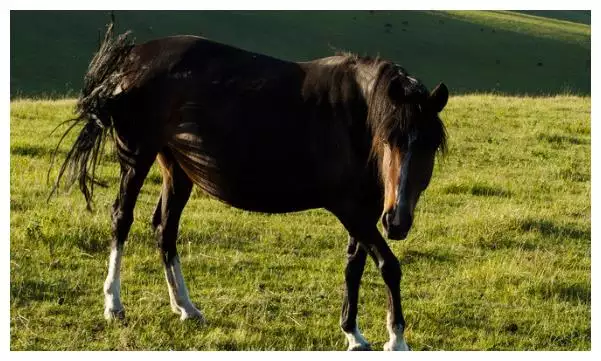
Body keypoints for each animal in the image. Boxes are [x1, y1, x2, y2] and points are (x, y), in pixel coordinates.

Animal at [51, 22, 446, 348]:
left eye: (428, 145)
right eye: (390, 139)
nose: (397, 221)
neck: (353, 118)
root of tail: (132, 58)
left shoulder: (364, 210)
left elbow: (355, 265)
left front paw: (353, 333)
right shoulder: (351, 209)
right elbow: (388, 265)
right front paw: (396, 339)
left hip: (176, 167)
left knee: (165, 228)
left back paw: (186, 307)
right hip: (136, 156)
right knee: (122, 217)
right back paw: (114, 304)